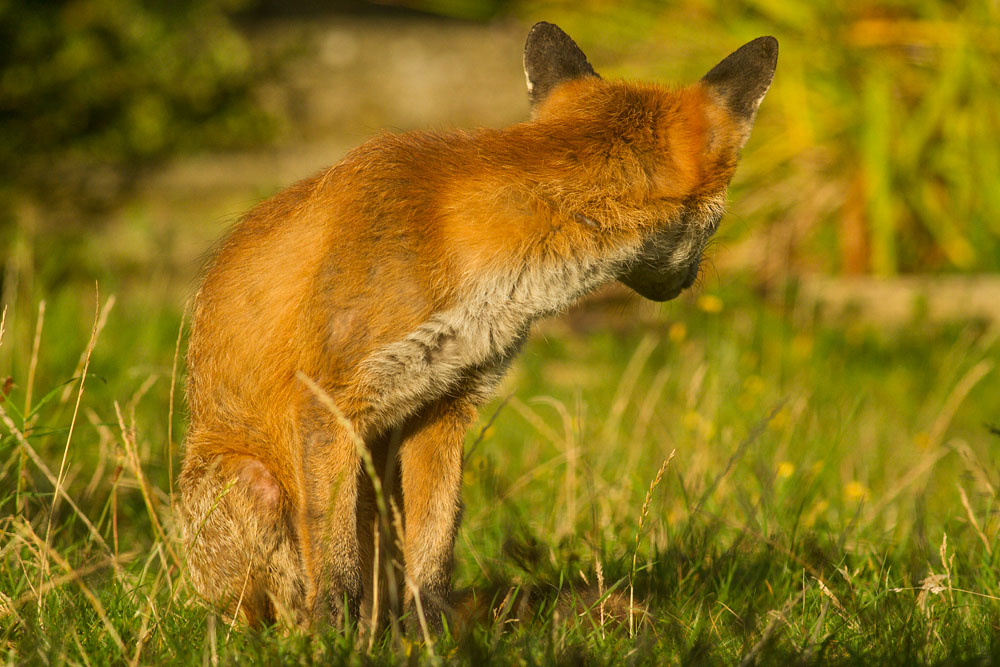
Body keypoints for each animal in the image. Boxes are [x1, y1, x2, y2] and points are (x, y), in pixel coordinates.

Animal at [178, 22, 777, 631]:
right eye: (717, 224)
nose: (689, 280)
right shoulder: (328, 405)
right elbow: (335, 563)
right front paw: (334, 637)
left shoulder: (445, 403)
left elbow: (435, 549)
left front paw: (432, 634)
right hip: (254, 485)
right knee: (276, 609)